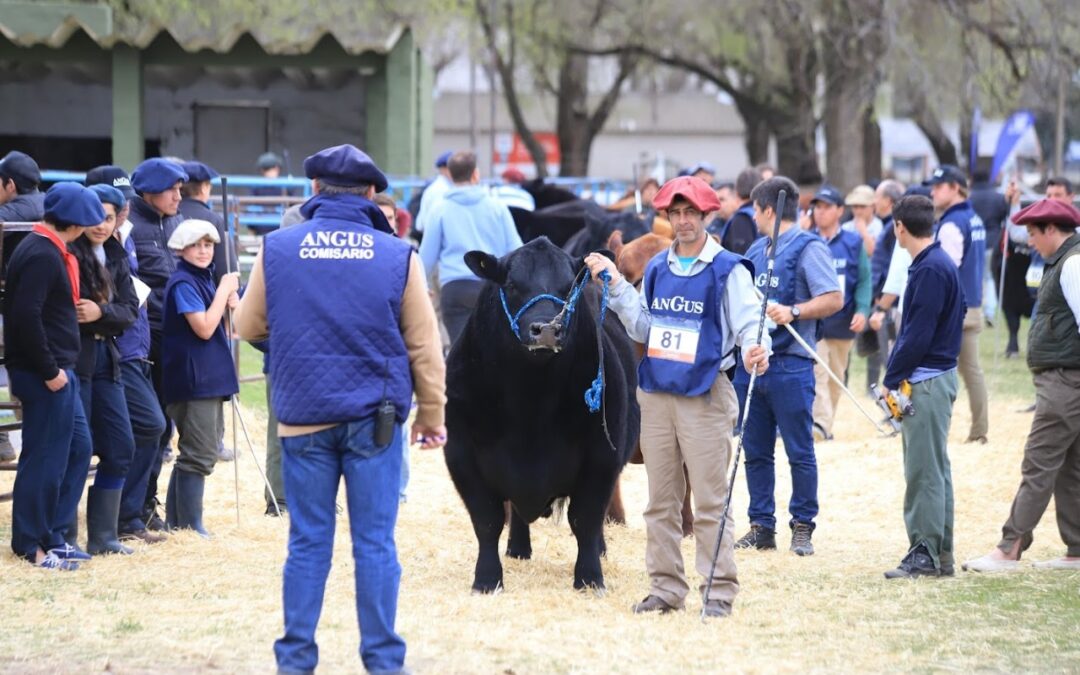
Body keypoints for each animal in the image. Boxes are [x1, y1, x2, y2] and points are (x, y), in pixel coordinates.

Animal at [442, 235, 635, 587]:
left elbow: (586, 519)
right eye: (511, 284)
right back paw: (518, 549)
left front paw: (590, 579)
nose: (546, 329)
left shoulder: (601, 457)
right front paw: (487, 579)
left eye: (568, 286)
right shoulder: (461, 454)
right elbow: (487, 520)